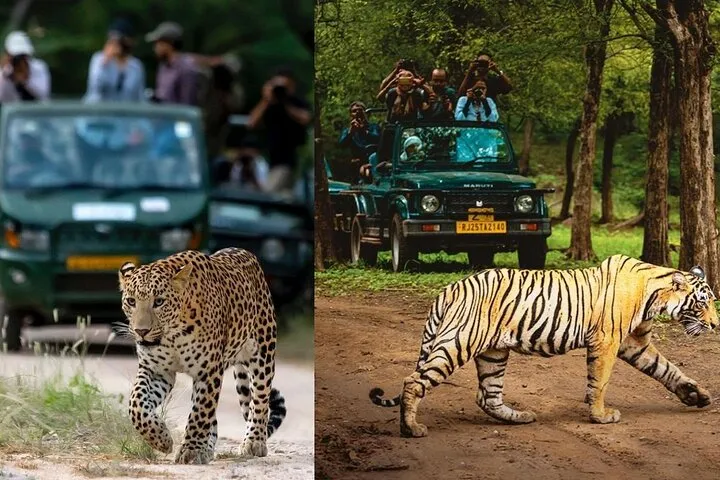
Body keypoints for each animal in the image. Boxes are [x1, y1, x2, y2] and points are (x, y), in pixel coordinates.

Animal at [369, 254, 717, 438]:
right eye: (702, 303)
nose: (715, 325)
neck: (655, 296)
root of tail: (450, 288)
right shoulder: (607, 341)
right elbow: (600, 382)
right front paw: (600, 416)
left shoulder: (634, 344)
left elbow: (667, 369)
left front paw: (696, 395)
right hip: (458, 342)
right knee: (414, 381)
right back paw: (411, 428)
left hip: (493, 352)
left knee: (487, 396)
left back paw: (520, 417)